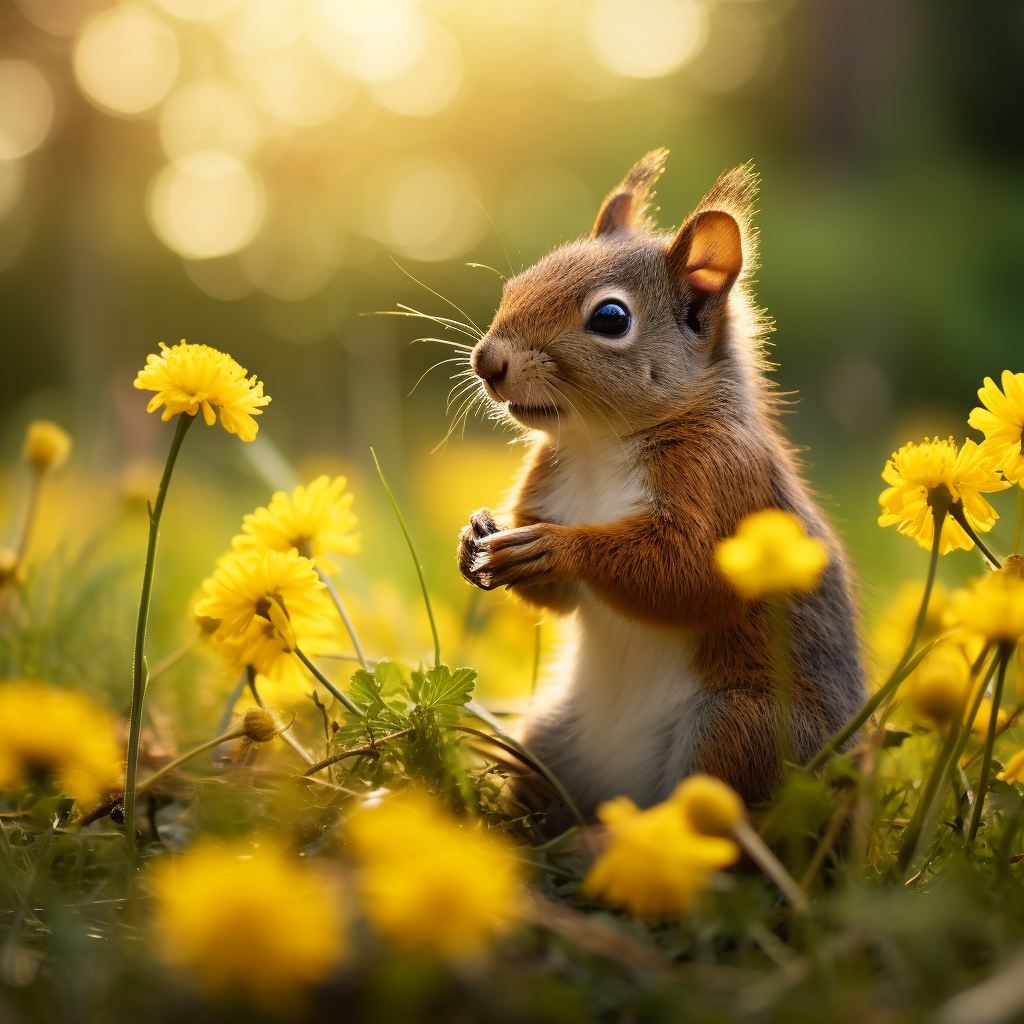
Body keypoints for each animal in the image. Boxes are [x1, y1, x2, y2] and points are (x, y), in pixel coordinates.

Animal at [456, 151, 864, 819]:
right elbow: (561, 599)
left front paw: (559, 546)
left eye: (611, 318)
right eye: (515, 286)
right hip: (552, 738)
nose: (487, 362)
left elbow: (690, 575)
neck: (602, 443)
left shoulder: (724, 479)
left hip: (742, 729)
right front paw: (475, 542)